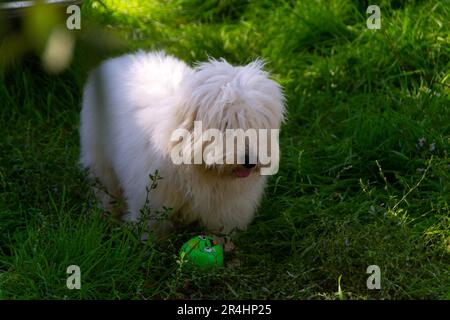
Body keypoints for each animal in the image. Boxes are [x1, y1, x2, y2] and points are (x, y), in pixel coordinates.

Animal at [80, 51, 284, 234]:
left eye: (258, 125)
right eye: (227, 124)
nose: (250, 162)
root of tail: (120, 59)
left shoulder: (226, 210)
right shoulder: (152, 202)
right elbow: (150, 230)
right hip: (99, 155)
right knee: (105, 187)